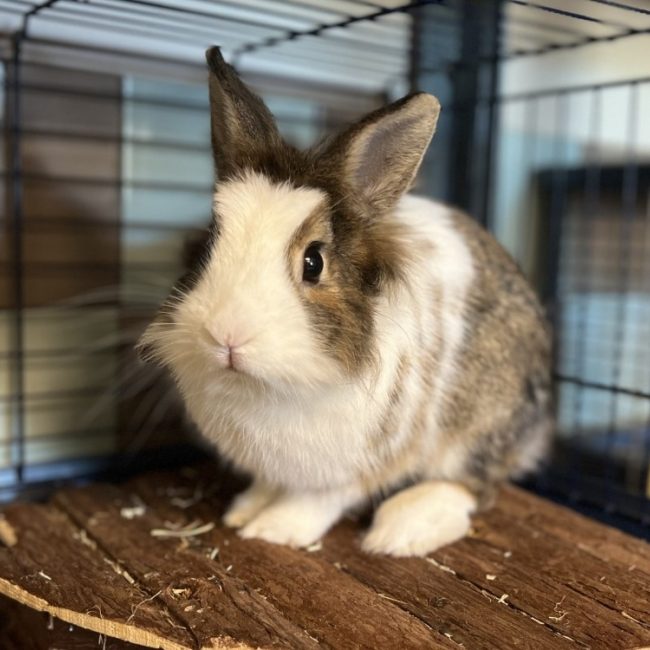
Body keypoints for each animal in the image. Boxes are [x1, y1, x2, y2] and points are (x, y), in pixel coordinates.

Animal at [138, 46, 553, 557]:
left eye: (313, 262)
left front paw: (274, 528)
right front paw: (245, 510)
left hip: (476, 427)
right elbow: (268, 484)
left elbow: (319, 500)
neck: (269, 387)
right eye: (207, 245)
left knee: (473, 486)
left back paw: (402, 529)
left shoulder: (357, 465)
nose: (226, 335)